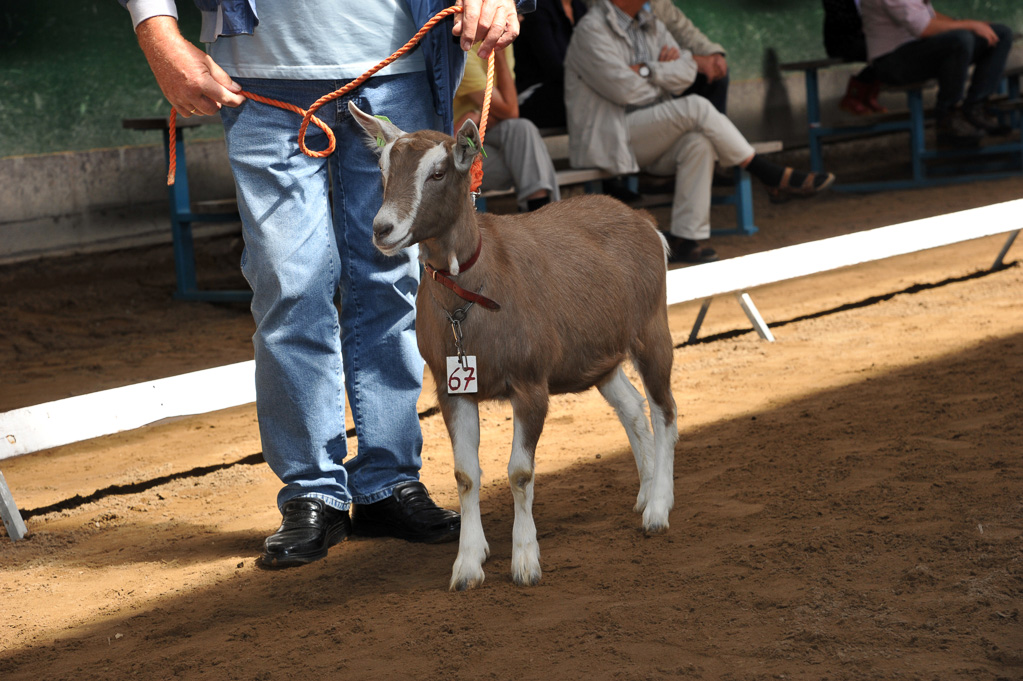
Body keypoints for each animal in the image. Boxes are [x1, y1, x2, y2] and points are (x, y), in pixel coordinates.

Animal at [351, 102, 679, 588]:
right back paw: (645, 490)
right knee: (633, 409)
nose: (382, 229)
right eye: (383, 169)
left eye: (439, 173)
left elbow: (520, 474)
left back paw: (658, 507)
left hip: (652, 329)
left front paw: (525, 561)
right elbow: (466, 475)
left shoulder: (530, 385)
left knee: (665, 411)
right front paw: (468, 563)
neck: (470, 296)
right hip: (596, 356)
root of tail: (644, 222)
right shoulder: (452, 390)